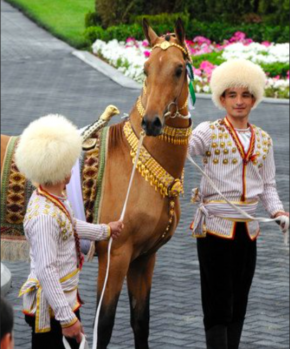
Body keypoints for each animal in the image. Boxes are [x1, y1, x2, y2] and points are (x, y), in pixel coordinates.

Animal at [2, 19, 194, 348]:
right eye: (145, 69)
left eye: (179, 69)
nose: (152, 122)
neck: (137, 161)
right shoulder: (115, 256)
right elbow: (103, 325)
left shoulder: (145, 259)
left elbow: (140, 321)